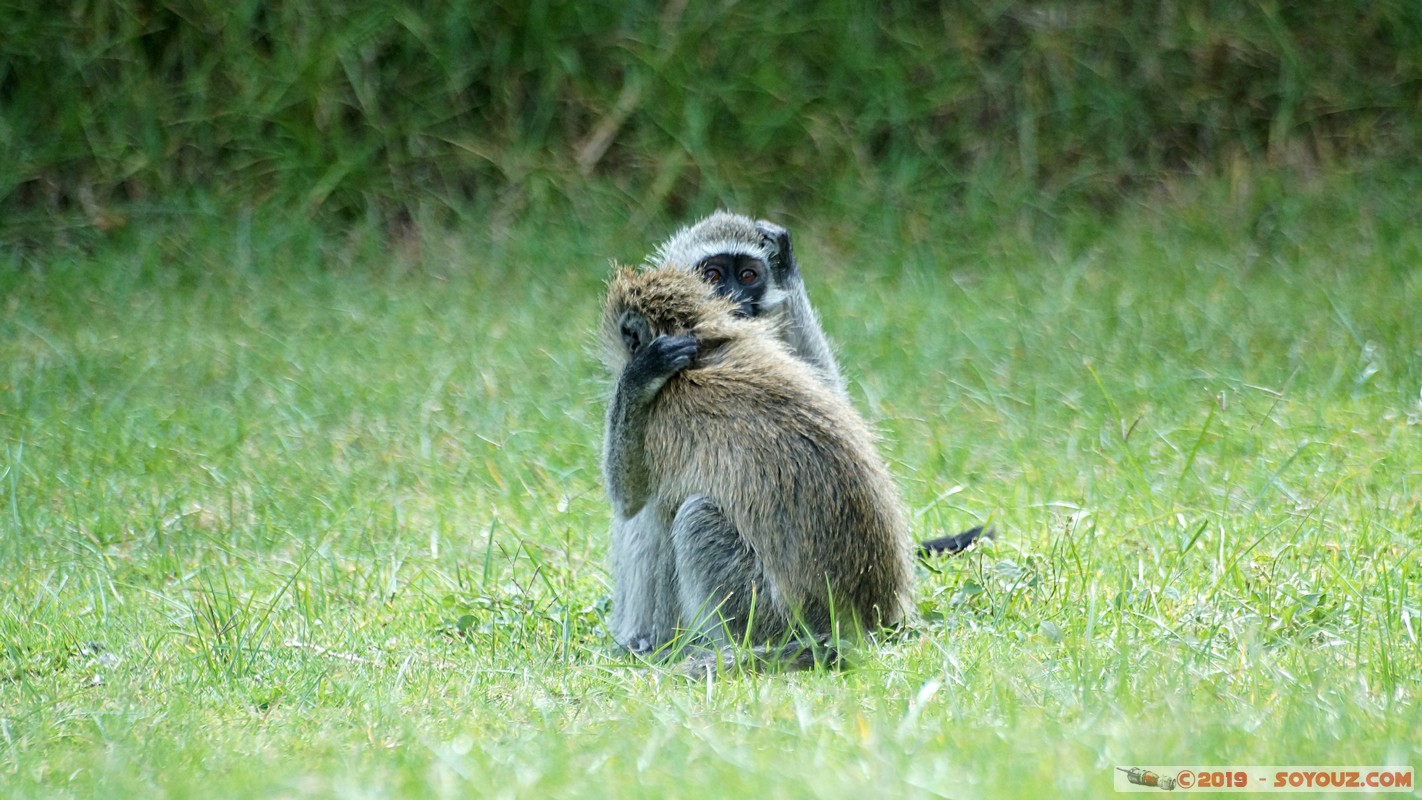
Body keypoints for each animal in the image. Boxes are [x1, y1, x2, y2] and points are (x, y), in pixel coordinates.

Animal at [601, 266, 915, 670]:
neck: (704, 346)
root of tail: (869, 622)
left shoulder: (662, 418)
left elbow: (628, 497)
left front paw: (636, 379)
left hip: (772, 616)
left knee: (689, 517)